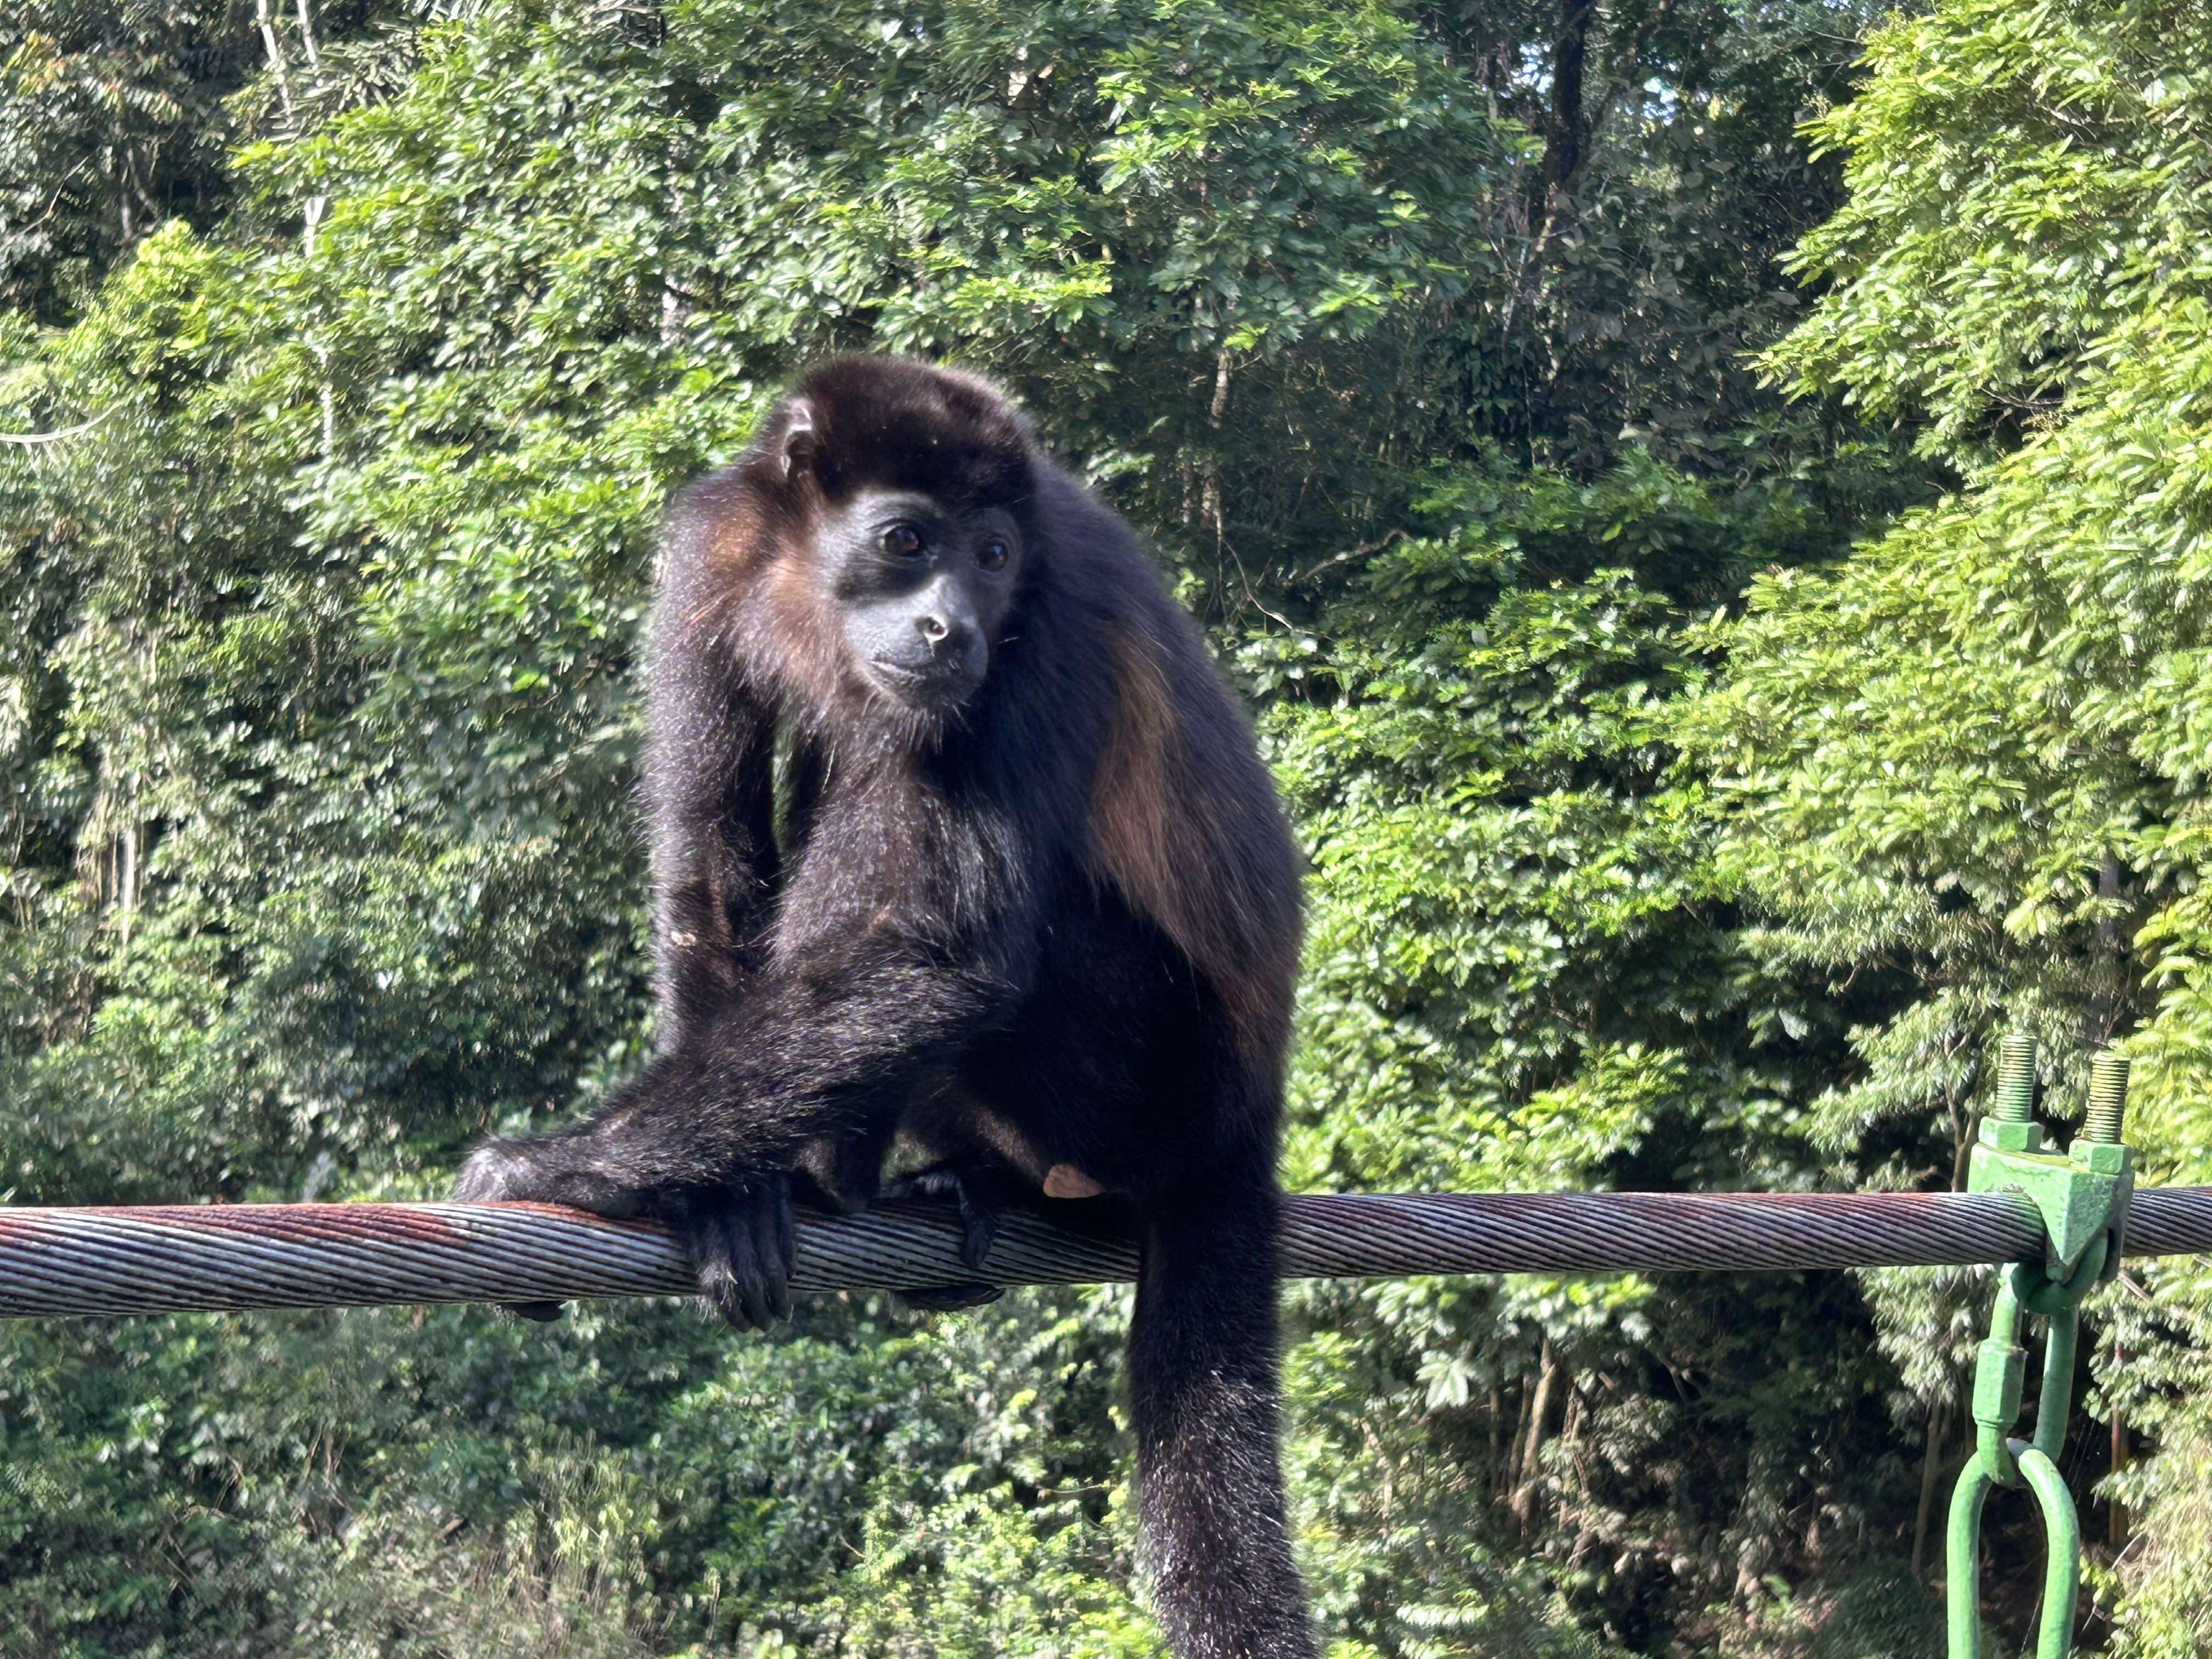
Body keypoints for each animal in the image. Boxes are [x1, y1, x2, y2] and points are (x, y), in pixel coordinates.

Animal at [454, 356, 1312, 1659]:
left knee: (910, 799)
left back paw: (840, 1179)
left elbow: (942, 960)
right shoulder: (712, 542)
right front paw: (727, 1198)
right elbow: (707, 856)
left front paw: (567, 1167)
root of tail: (1251, 1112)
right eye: (908, 541)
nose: (951, 621)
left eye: (995, 557)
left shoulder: (1046, 626)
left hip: (1157, 1077)